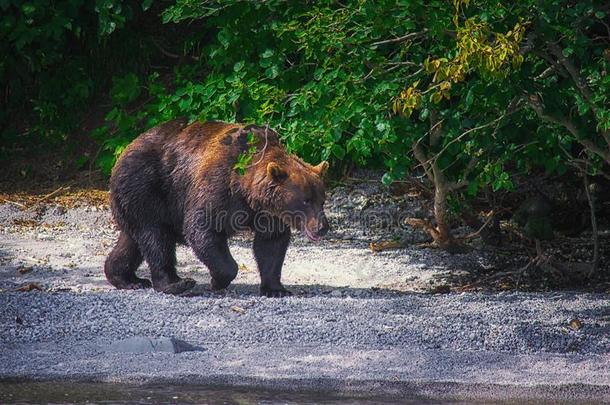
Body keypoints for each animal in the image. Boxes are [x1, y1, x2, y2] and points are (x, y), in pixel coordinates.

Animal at [105, 118, 328, 296]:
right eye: (306, 200)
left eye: (322, 199)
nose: (322, 227)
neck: (246, 190)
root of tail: (124, 150)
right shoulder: (218, 185)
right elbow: (202, 229)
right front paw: (216, 280)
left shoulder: (268, 211)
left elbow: (271, 244)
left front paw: (276, 289)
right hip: (145, 187)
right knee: (156, 238)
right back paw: (175, 283)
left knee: (133, 240)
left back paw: (126, 278)